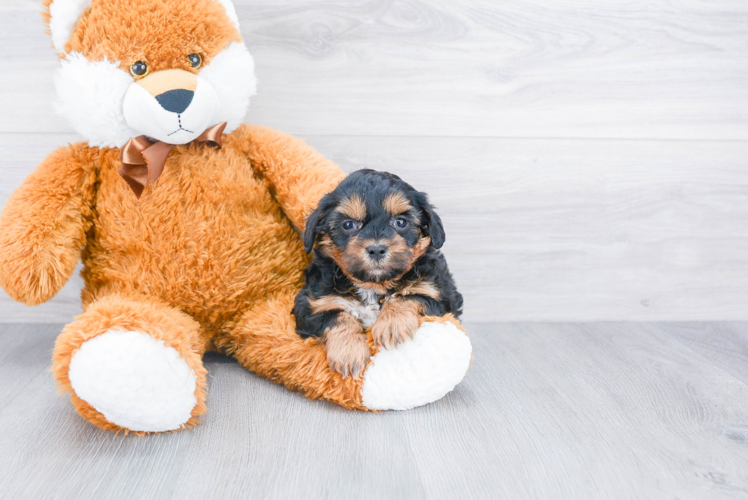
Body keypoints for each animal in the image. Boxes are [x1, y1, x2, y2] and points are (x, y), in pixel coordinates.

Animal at [292, 170, 462, 376]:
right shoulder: (310, 306)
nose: (376, 249)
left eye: (400, 222)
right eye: (348, 225)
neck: (373, 285)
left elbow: (407, 295)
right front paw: (349, 352)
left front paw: (392, 324)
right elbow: (337, 316)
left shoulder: (439, 297)